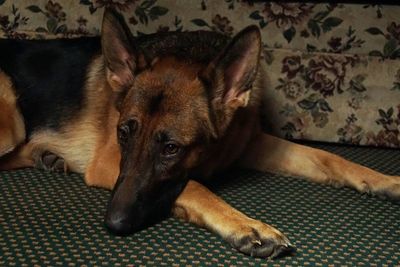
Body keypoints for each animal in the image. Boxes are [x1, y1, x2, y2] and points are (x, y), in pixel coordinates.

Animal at [0, 10, 400, 260]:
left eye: (171, 148)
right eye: (124, 133)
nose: (112, 224)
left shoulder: (253, 144)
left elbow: (330, 157)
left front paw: (385, 180)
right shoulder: (110, 161)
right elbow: (194, 186)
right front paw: (247, 226)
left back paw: (47, 157)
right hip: (11, 122)